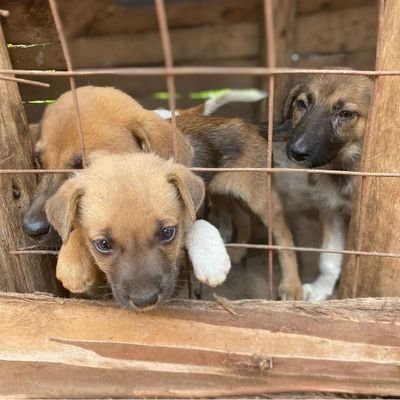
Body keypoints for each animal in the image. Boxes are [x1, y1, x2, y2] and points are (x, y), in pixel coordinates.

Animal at [282, 74, 374, 300]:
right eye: (301, 104)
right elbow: (329, 258)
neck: (343, 169)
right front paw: (321, 288)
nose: (296, 152)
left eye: (346, 114)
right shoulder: (331, 211)